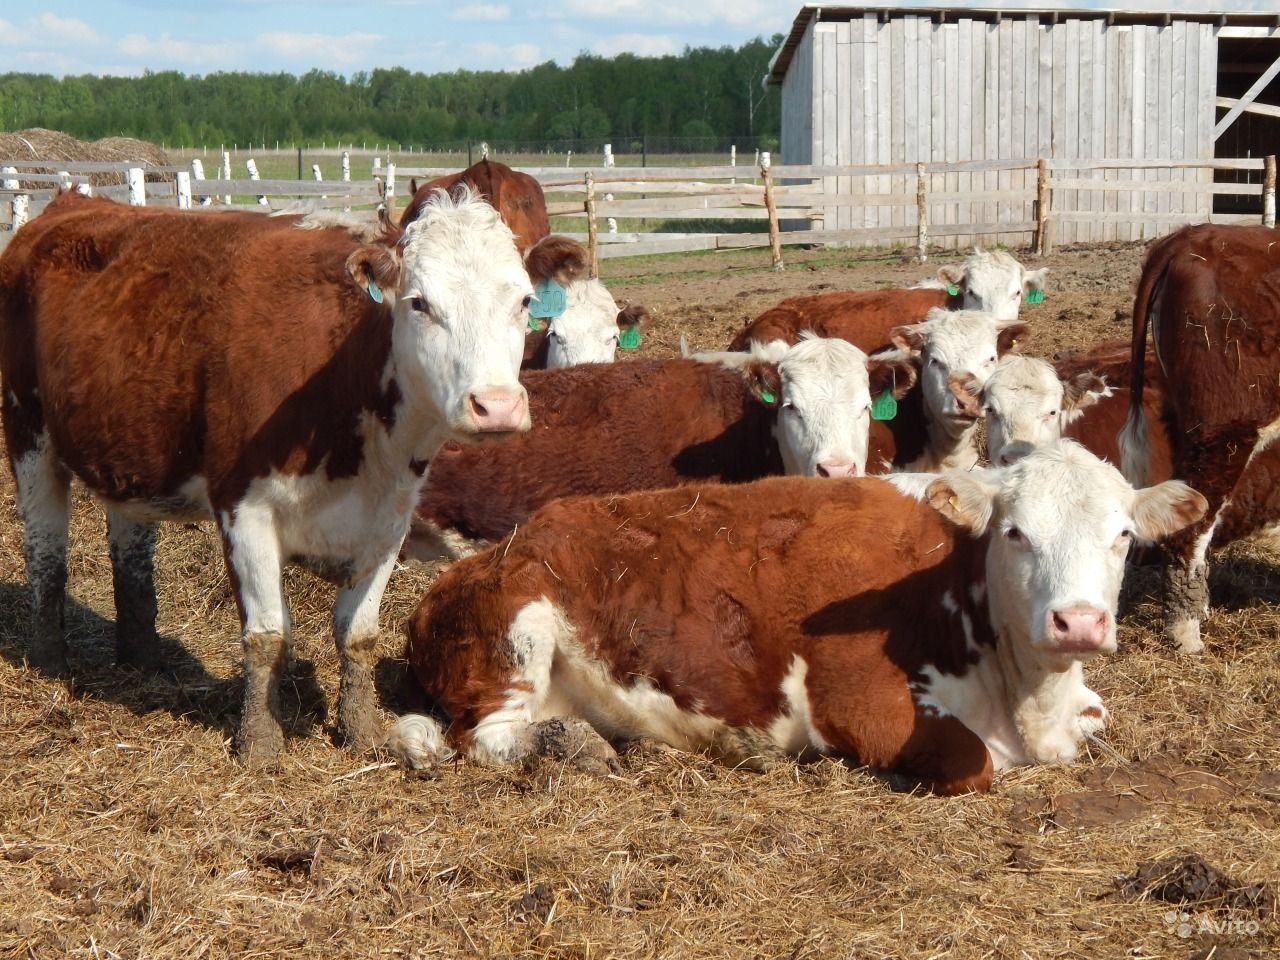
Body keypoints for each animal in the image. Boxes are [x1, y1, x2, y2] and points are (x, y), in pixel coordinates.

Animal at [0, 185, 576, 757]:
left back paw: (144, 661)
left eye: (524, 301)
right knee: (45, 549)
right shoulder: (243, 507)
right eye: (419, 302)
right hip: (28, 434)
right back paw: (51, 664)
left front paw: (360, 732)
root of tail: (70, 201)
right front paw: (259, 744)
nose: (496, 406)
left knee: (131, 549)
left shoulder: (389, 518)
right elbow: (266, 635)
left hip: (129, 451)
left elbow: (358, 634)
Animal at [384, 442, 1203, 798]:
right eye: (1016, 533)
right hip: (516, 633)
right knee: (480, 739)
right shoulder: (859, 702)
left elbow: (1096, 717)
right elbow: (973, 763)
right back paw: (578, 748)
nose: (1078, 623)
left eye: (1122, 535)